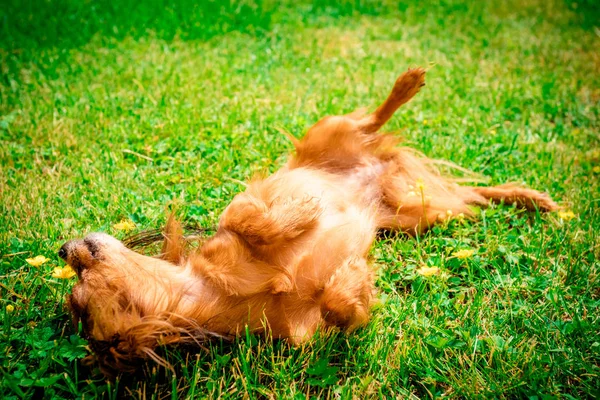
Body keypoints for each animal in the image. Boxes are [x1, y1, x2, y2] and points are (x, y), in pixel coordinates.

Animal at [61, 67, 556, 374]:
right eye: (78, 299)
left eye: (77, 284)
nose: (64, 250)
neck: (218, 289)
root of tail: (376, 167)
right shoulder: (310, 334)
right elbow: (339, 310)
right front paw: (353, 278)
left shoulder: (240, 208)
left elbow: (248, 219)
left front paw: (301, 213)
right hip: (418, 214)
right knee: (475, 196)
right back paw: (530, 199)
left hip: (332, 130)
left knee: (371, 118)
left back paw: (407, 83)